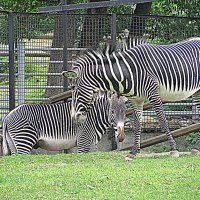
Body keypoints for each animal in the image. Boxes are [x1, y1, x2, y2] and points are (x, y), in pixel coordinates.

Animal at [63, 37, 200, 158]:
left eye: (72, 87)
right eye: (112, 112)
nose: (74, 117)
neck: (128, 72)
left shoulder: (154, 94)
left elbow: (162, 119)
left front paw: (173, 149)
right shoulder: (136, 99)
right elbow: (137, 124)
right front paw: (134, 152)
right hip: (197, 91)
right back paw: (197, 148)